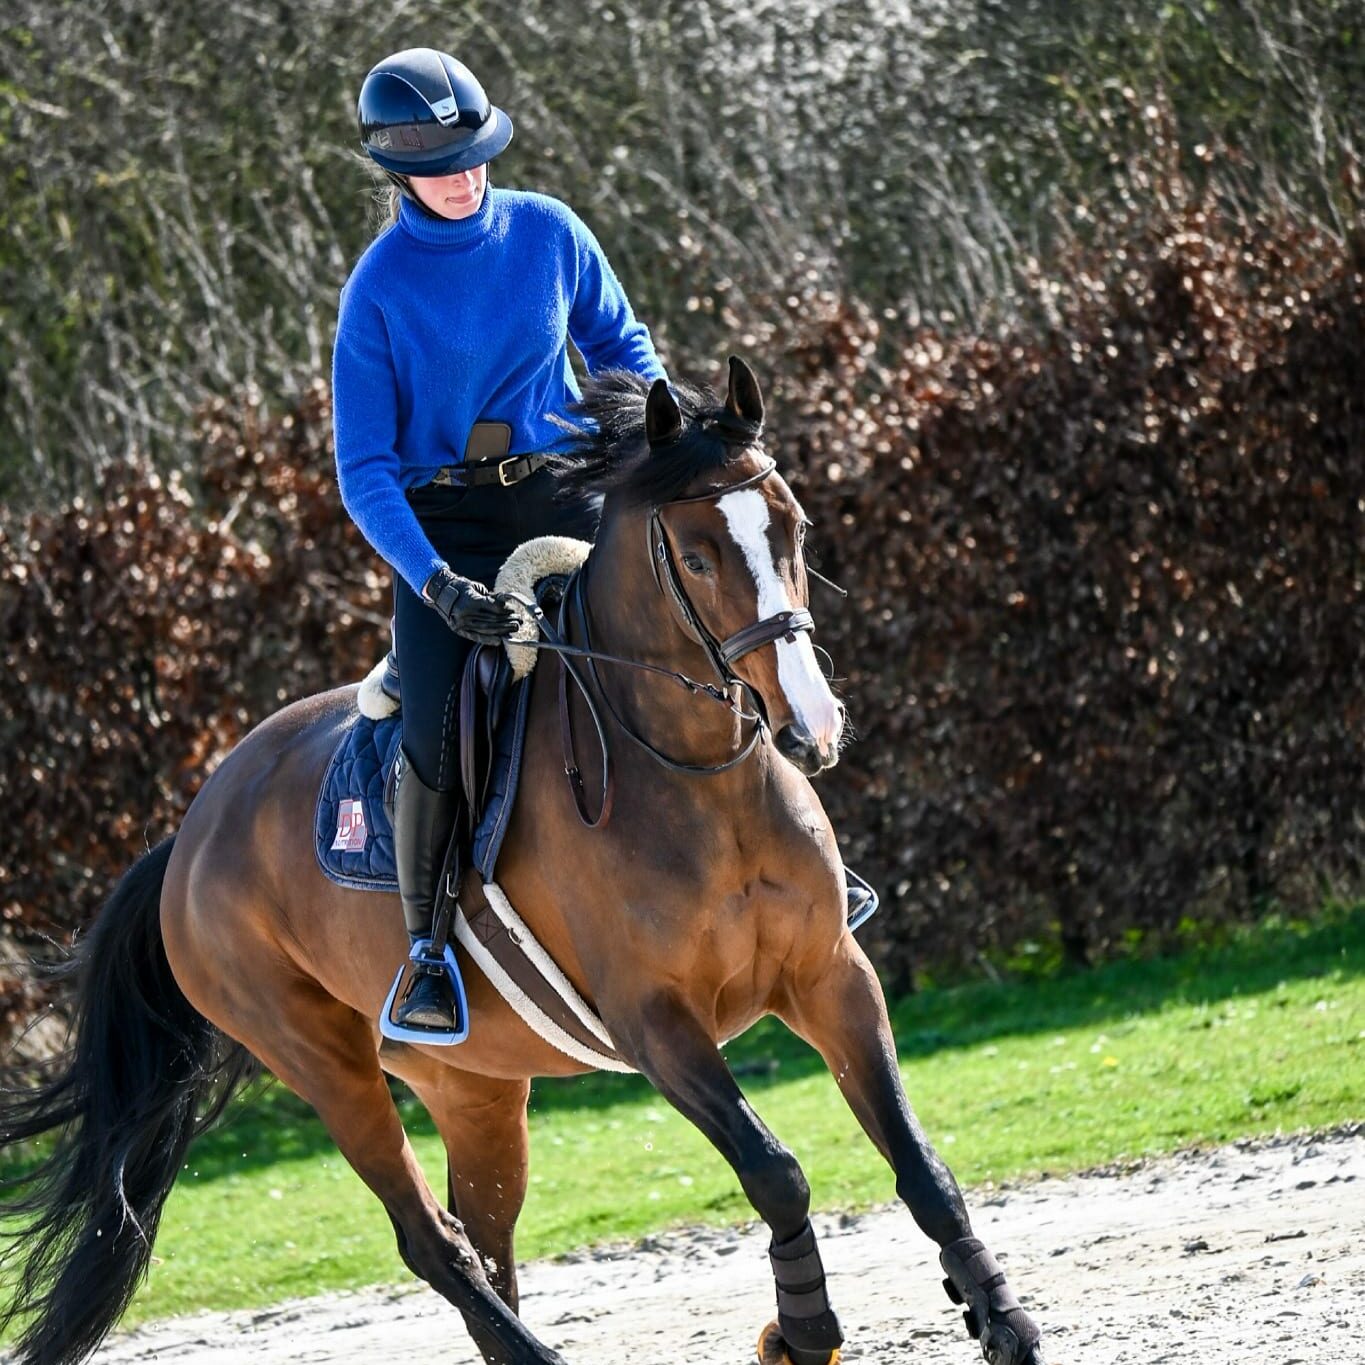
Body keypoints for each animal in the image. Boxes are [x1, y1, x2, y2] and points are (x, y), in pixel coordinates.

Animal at [0, 359, 1045, 1365]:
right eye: (696, 555)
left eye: (792, 526)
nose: (810, 725)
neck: (695, 783)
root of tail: (188, 837)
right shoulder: (656, 1022)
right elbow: (774, 1171)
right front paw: (802, 1332)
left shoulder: (831, 974)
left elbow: (920, 1165)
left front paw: (1000, 1318)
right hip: (326, 1066)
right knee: (433, 1241)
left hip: (474, 1086)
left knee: (485, 1233)